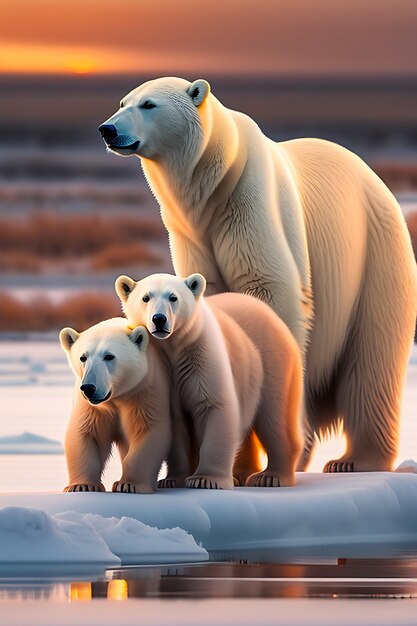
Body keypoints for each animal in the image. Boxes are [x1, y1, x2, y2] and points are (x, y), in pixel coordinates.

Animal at [100, 75, 416, 470]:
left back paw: (355, 459)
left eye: (148, 104)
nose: (108, 129)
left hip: (374, 254)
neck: (212, 184)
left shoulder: (248, 203)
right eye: (122, 101)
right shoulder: (191, 232)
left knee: (372, 360)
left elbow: (269, 290)